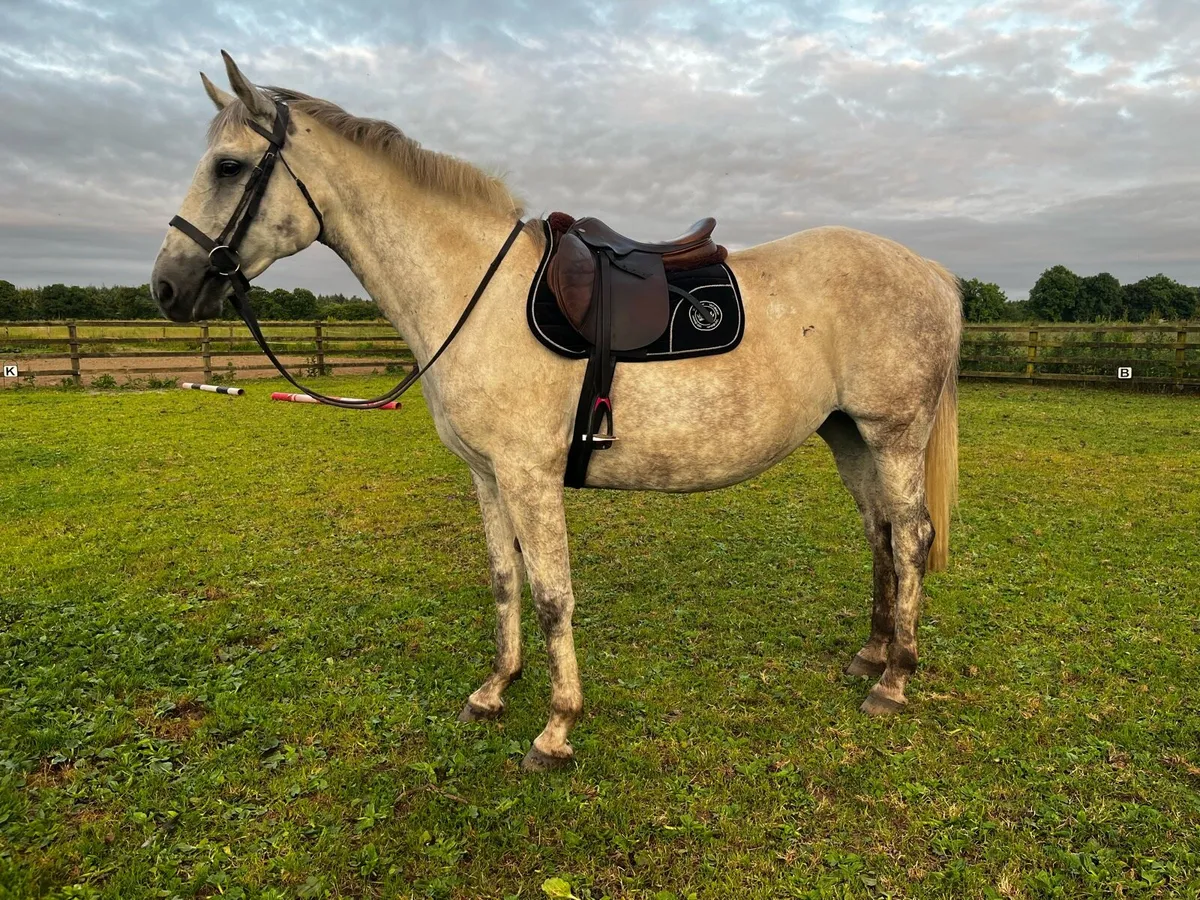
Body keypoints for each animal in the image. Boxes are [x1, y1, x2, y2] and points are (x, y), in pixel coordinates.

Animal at [151, 52, 961, 771]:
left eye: (228, 167)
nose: (166, 288)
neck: (473, 292)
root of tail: (932, 271)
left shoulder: (529, 477)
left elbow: (551, 597)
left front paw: (556, 728)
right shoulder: (485, 476)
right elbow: (504, 581)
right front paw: (493, 691)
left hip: (893, 436)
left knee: (912, 537)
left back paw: (895, 680)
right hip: (848, 436)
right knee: (882, 535)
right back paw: (871, 655)